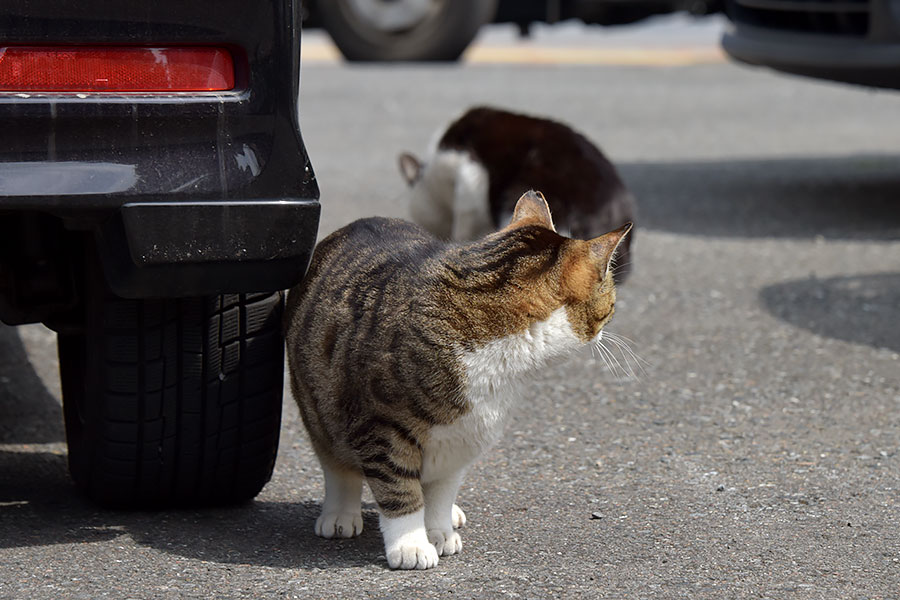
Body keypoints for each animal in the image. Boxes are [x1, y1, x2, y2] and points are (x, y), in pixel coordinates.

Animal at [284, 192, 628, 572]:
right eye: (611, 304)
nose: (609, 327)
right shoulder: (381, 428)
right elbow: (398, 490)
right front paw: (411, 545)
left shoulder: (464, 436)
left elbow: (442, 491)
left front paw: (439, 531)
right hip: (319, 408)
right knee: (337, 466)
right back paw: (340, 514)